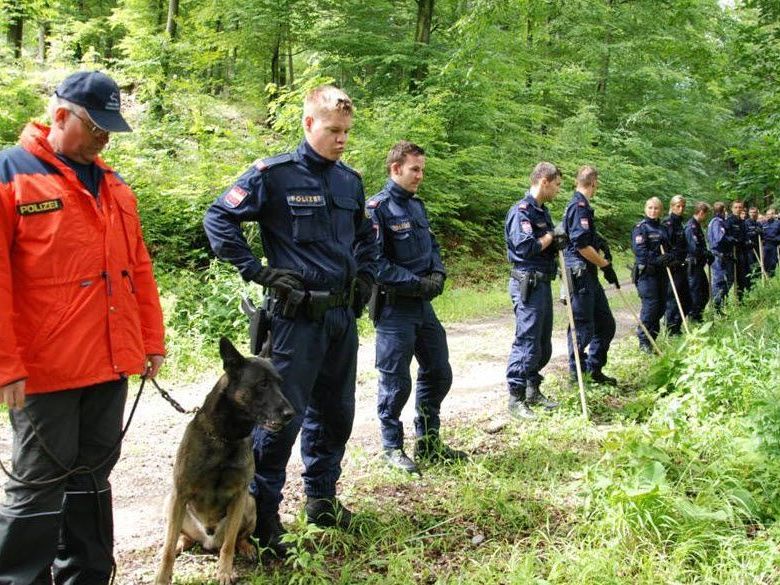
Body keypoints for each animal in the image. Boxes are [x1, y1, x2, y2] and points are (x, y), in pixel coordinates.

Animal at [155, 336, 296, 580]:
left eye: (280, 383)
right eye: (263, 384)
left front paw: (224, 572)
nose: (291, 414)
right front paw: (163, 577)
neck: (225, 438)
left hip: (249, 503)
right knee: (180, 537)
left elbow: (229, 544)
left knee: (237, 537)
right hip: (170, 503)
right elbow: (167, 548)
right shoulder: (180, 493)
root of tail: (208, 541)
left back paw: (246, 548)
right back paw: (182, 543)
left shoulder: (239, 496)